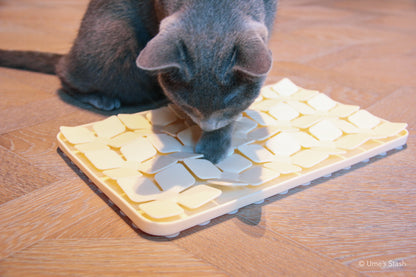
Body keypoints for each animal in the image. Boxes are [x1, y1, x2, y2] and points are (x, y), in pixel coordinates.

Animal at [1, 0, 280, 163]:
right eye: (187, 105)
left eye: (228, 105)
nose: (206, 125)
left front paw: (213, 144)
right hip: (112, 43)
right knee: (65, 75)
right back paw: (102, 97)